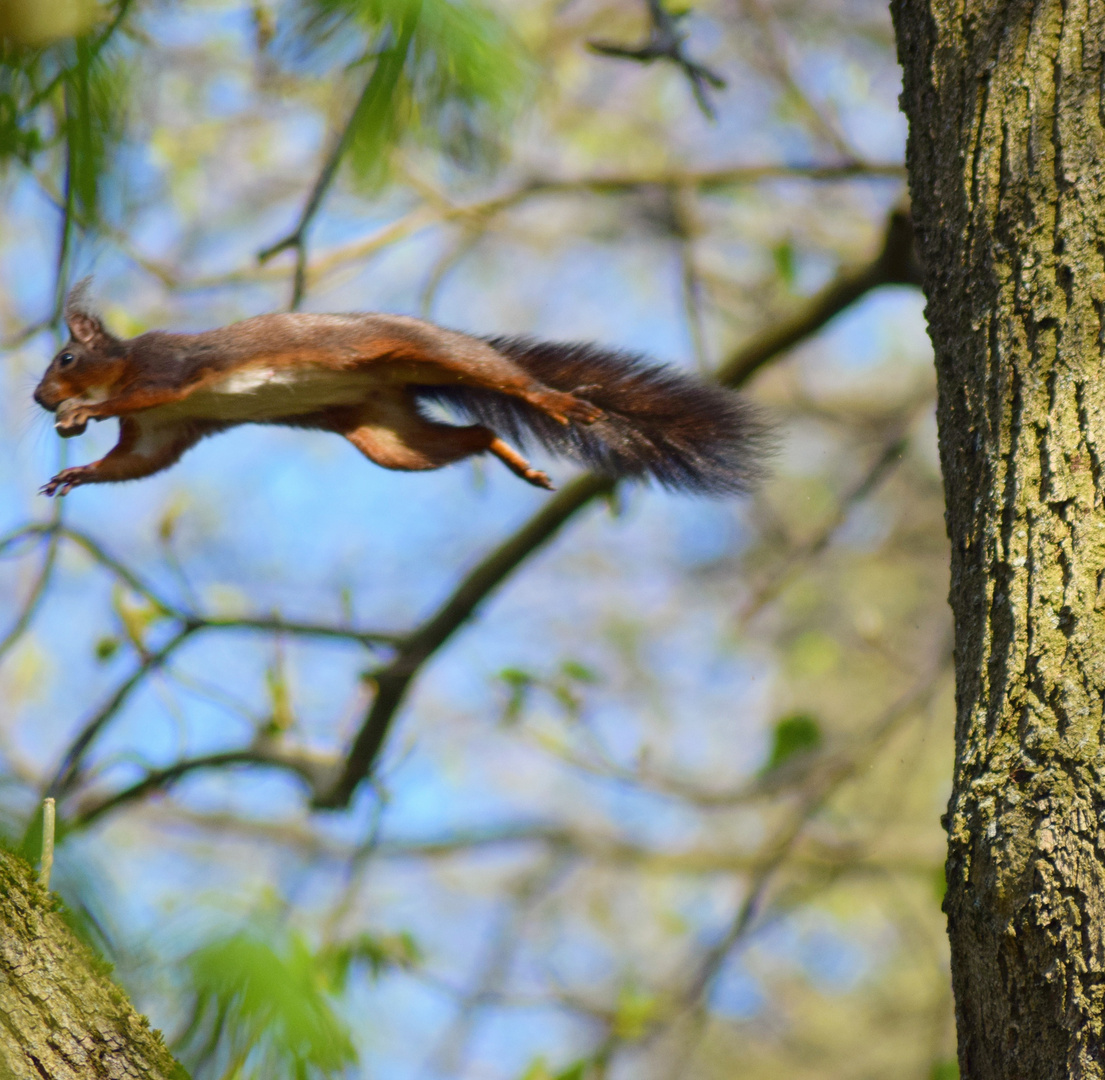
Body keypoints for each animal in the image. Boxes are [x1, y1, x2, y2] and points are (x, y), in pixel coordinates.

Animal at [30, 280, 764, 495]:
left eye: (65, 357)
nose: (38, 399)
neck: (123, 360)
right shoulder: (159, 434)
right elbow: (137, 463)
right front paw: (77, 473)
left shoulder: (168, 374)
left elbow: (139, 397)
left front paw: (84, 411)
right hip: (387, 436)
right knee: (477, 431)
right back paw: (518, 464)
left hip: (429, 358)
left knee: (513, 385)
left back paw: (555, 402)